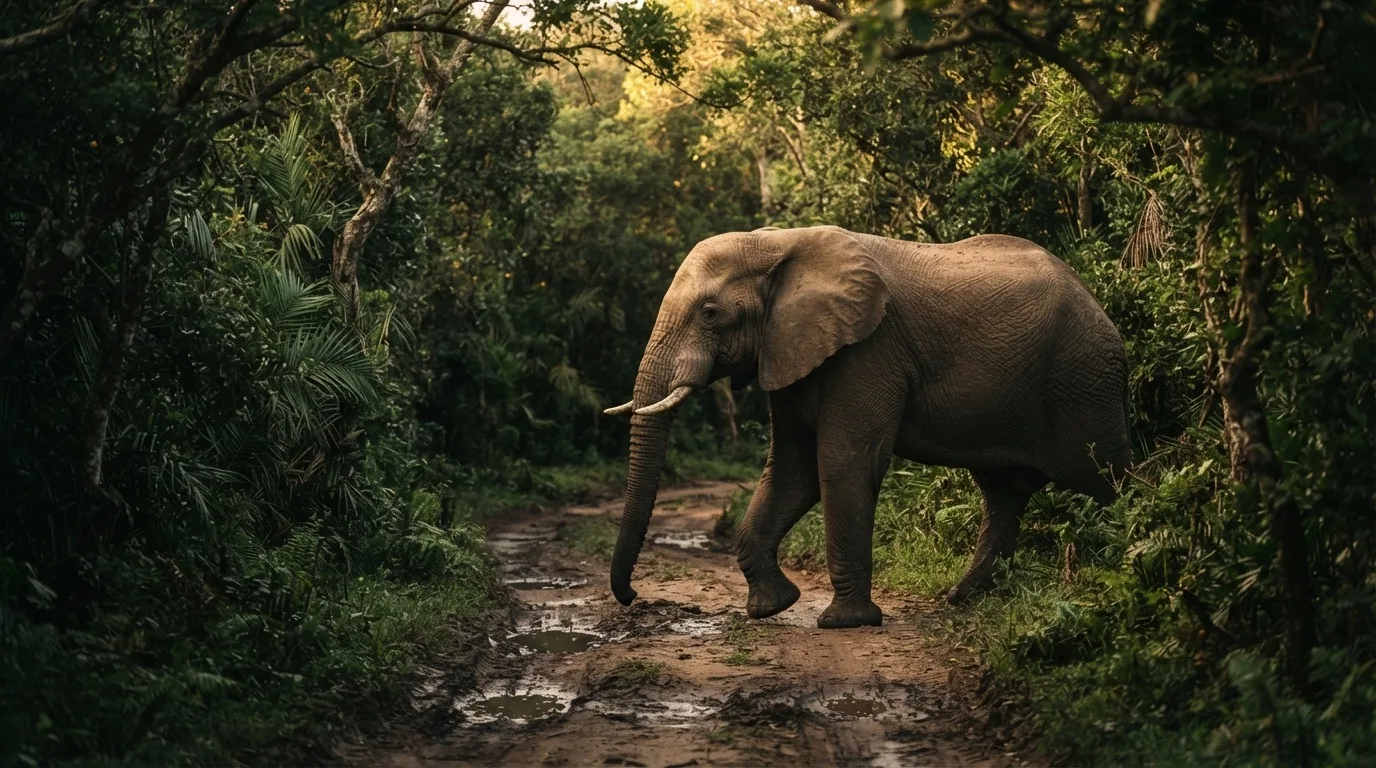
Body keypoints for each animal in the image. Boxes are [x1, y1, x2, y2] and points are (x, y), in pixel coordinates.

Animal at [603, 225, 1130, 629]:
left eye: (710, 313)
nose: (631, 597)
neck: (776, 243)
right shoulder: (792, 349)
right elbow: (792, 471)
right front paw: (771, 608)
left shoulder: (868, 351)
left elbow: (843, 462)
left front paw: (844, 623)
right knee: (1004, 495)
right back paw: (961, 599)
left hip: (1085, 382)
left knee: (1108, 480)